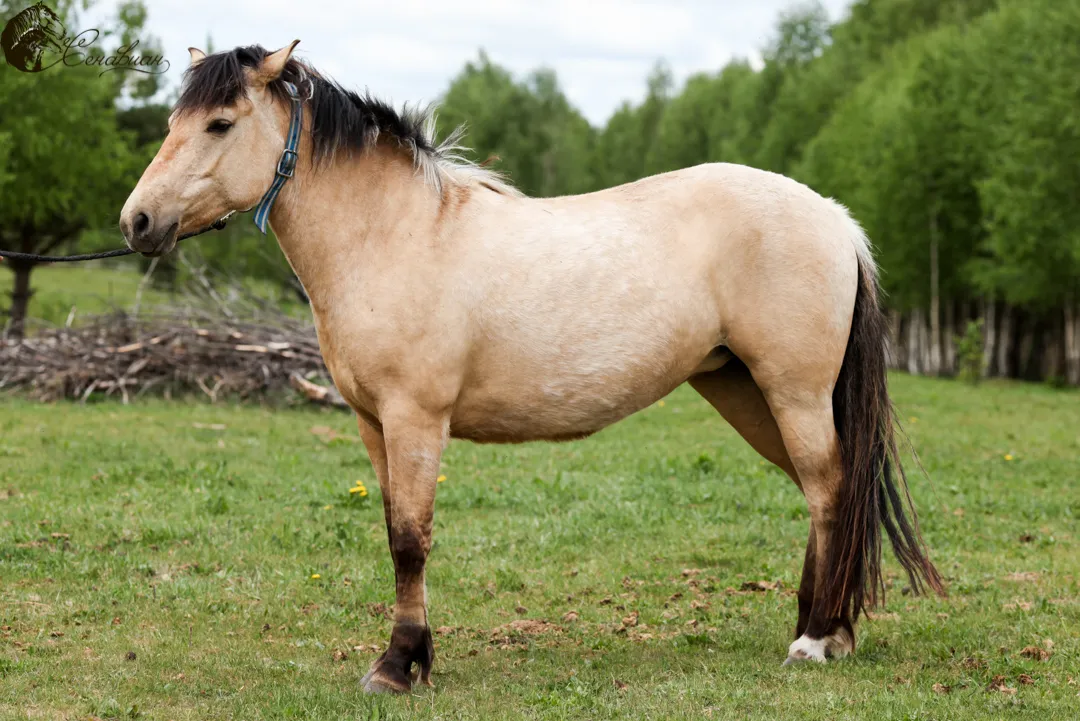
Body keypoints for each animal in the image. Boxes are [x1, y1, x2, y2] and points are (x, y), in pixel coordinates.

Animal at [119, 41, 945, 694]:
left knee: (829, 488)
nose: (137, 221)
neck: (394, 233)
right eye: (170, 124)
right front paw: (415, 657)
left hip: (792, 391)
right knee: (822, 490)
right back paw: (824, 628)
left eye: (220, 123)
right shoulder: (372, 424)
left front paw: (397, 665)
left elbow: (409, 539)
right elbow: (394, 529)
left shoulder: (416, 419)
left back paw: (817, 639)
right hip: (744, 390)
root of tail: (836, 219)